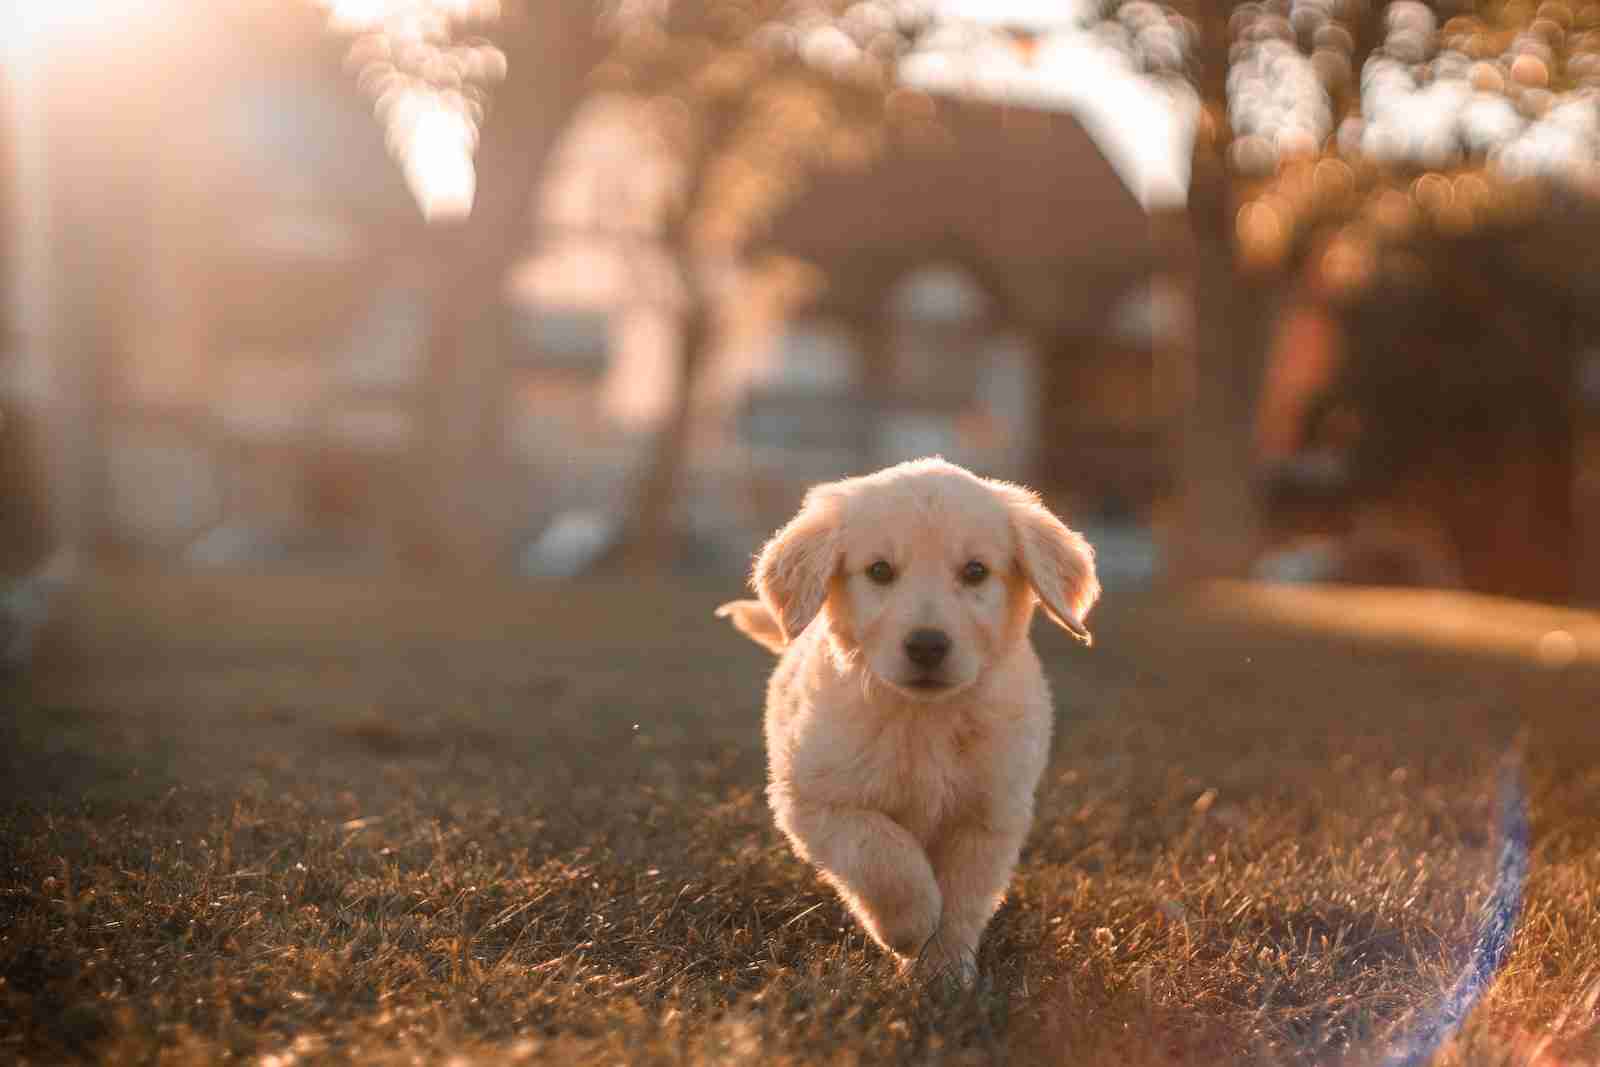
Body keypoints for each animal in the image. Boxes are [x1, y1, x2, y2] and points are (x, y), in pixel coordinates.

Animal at [726, 454, 1100, 979]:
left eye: (976, 571)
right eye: (880, 570)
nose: (927, 645)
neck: (925, 718)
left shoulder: (988, 815)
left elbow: (963, 897)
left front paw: (945, 971)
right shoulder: (815, 800)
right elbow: (884, 854)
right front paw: (911, 927)